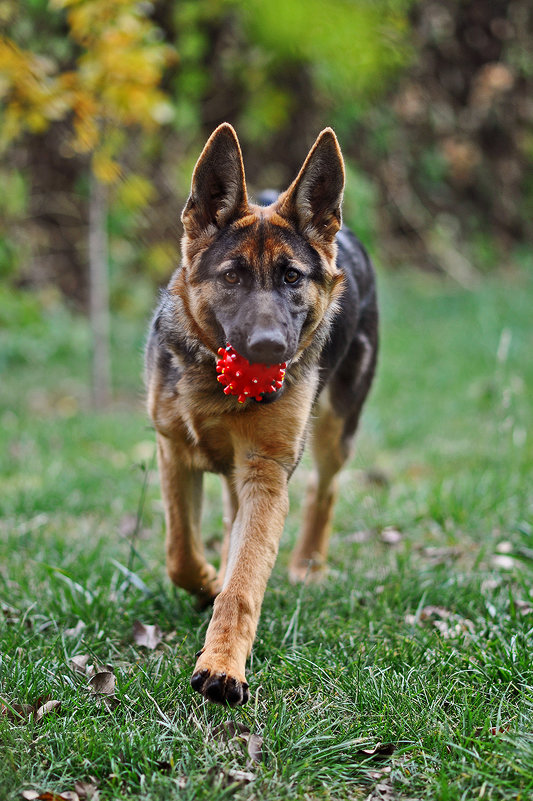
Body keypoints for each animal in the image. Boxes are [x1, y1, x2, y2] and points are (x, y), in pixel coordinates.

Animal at [145, 122, 378, 704]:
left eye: (292, 278)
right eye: (232, 277)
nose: (271, 348)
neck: (218, 382)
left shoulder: (266, 473)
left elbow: (245, 583)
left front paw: (222, 665)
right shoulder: (172, 451)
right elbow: (180, 551)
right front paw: (207, 581)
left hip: (336, 428)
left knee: (324, 488)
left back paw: (307, 564)